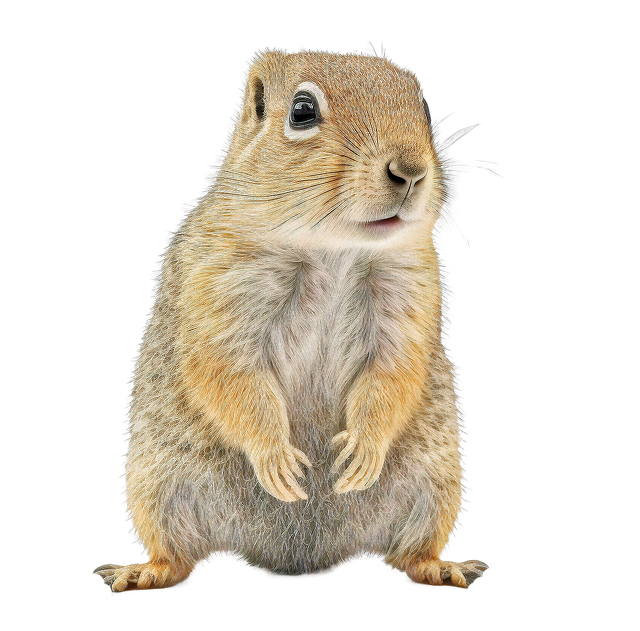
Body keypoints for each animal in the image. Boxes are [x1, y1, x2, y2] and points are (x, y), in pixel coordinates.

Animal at [93, 42, 497, 593]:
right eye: (302, 112)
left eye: (420, 104)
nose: (411, 169)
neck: (333, 249)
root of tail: (299, 559)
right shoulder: (218, 286)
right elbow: (228, 372)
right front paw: (276, 457)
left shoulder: (411, 293)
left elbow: (395, 371)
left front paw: (362, 450)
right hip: (156, 485)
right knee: (177, 553)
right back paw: (146, 571)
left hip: (437, 483)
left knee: (410, 551)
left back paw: (442, 565)